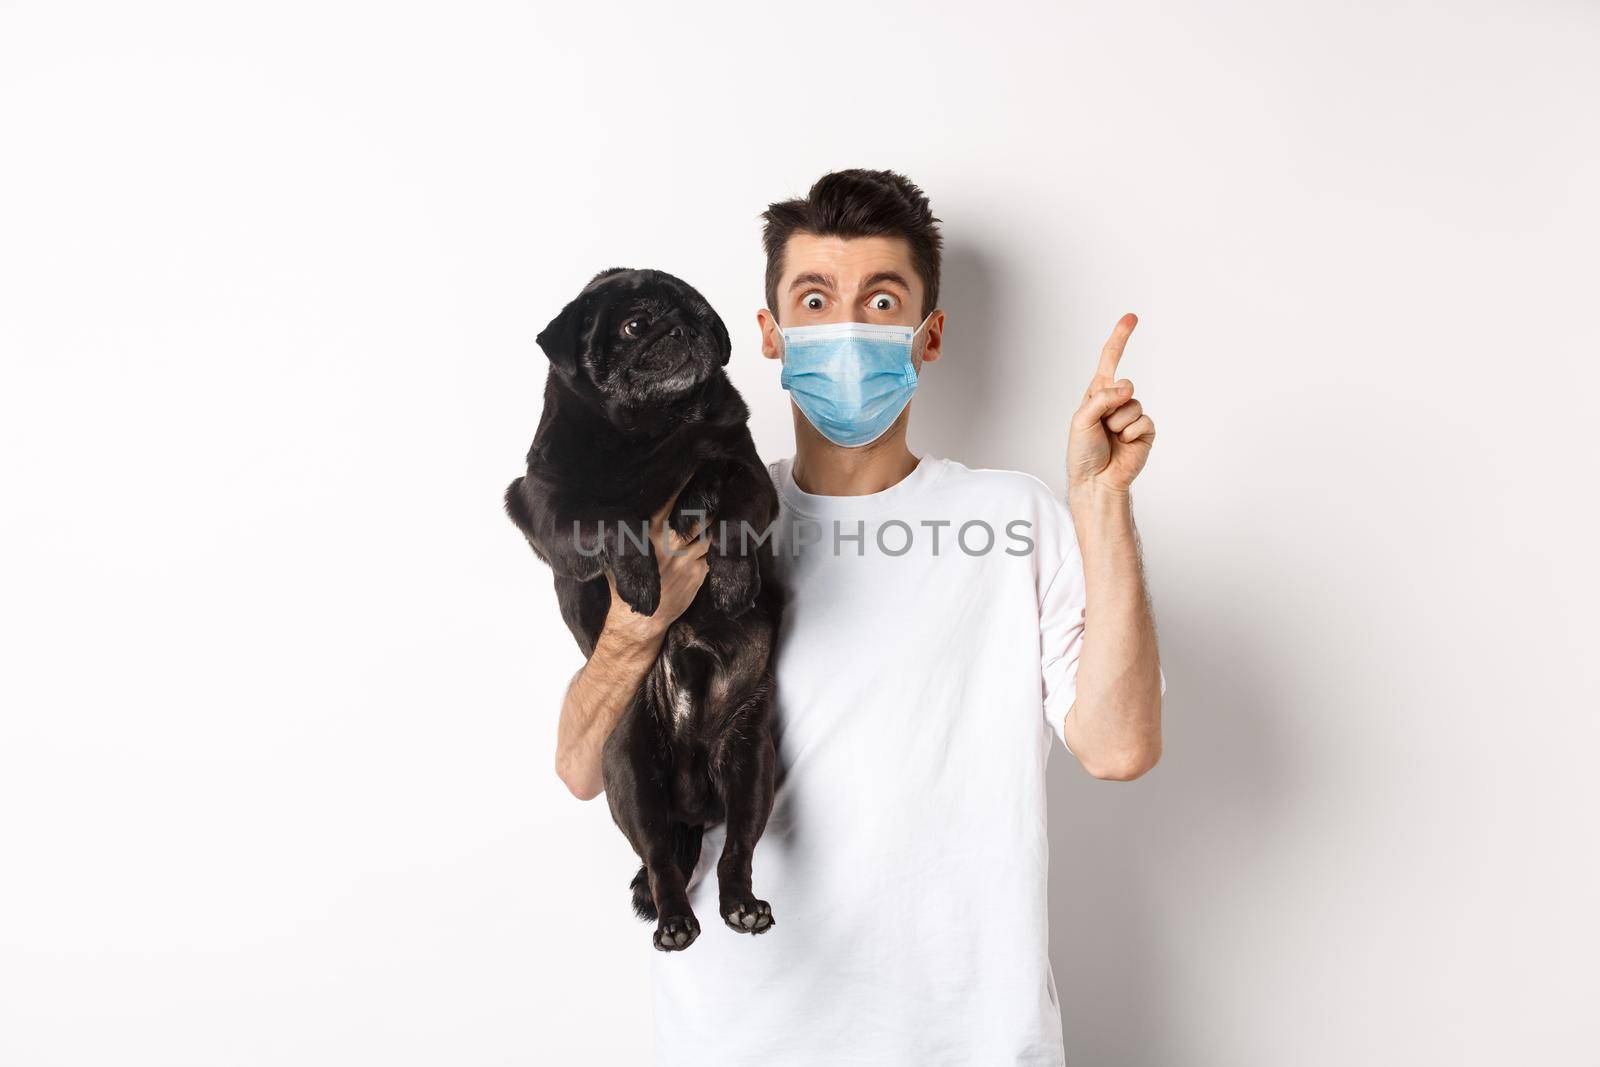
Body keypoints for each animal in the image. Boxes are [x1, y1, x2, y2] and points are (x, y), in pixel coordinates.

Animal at [508, 267, 784, 953]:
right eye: (636, 324)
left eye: (703, 316)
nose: (684, 329)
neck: (648, 434)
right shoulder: (546, 507)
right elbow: (611, 521)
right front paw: (638, 577)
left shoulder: (747, 473)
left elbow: (732, 508)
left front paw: (728, 570)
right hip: (629, 771)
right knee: (660, 860)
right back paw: (674, 918)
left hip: (751, 764)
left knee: (736, 852)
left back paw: (742, 907)